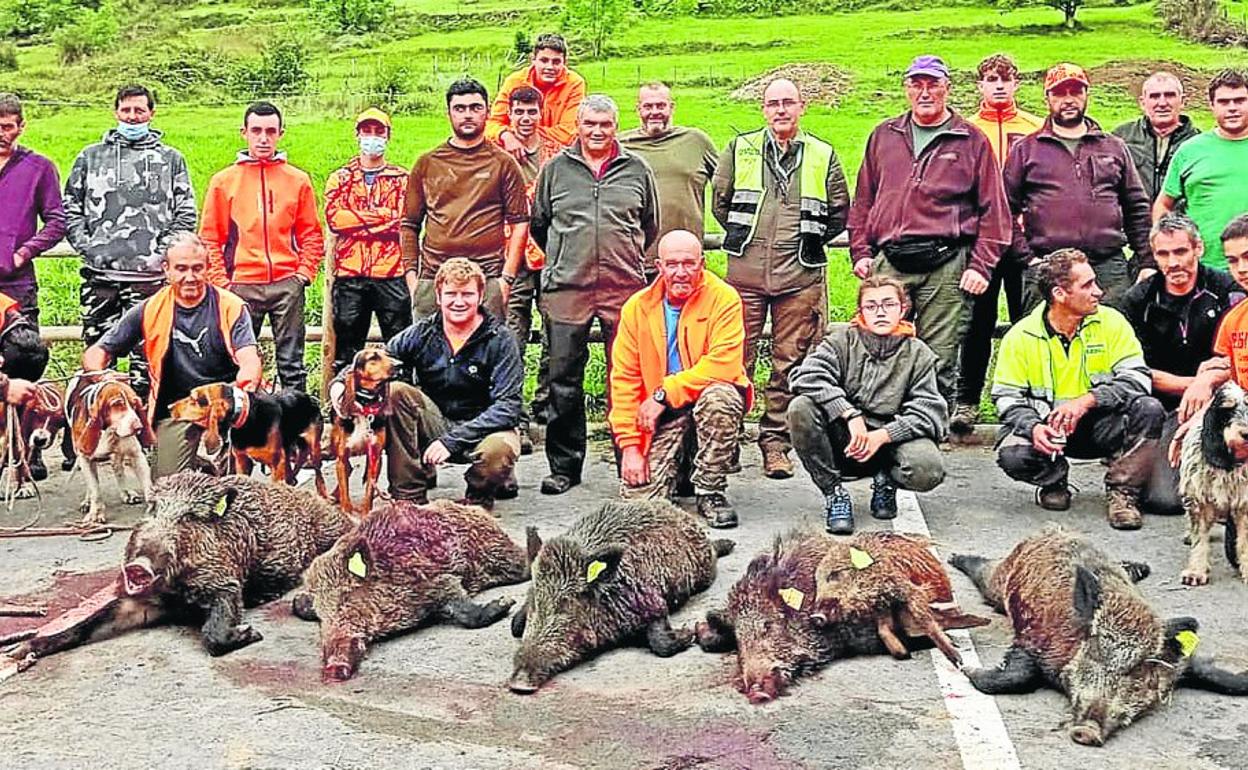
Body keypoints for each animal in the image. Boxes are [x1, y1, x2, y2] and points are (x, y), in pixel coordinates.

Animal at [66, 371, 154, 521]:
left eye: (135, 405)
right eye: (117, 404)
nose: (139, 427)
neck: (108, 429)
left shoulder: (136, 455)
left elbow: (148, 485)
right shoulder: (85, 459)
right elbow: (95, 490)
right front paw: (96, 513)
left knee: (118, 470)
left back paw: (126, 493)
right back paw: (87, 501)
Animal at [170, 384, 329, 499]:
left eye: (193, 399)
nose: (169, 407)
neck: (246, 418)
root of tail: (309, 397)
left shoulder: (277, 464)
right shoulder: (242, 461)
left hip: (314, 448)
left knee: (318, 475)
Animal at [329, 349, 391, 516]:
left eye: (388, 354)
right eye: (373, 357)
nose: (400, 364)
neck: (365, 407)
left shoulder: (376, 457)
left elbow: (369, 490)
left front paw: (365, 513)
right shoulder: (341, 457)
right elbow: (345, 491)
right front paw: (347, 511)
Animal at [1178, 381, 1248, 586]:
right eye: (1227, 410)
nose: (1246, 434)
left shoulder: (1244, 504)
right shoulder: (1199, 501)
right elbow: (1199, 538)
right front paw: (1196, 571)